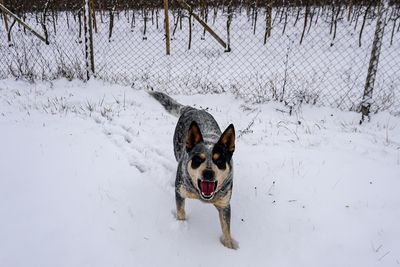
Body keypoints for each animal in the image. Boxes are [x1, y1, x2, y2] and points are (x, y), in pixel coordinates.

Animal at [150, 91, 238, 250]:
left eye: (219, 161)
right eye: (198, 159)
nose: (208, 173)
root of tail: (191, 109)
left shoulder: (224, 205)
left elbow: (226, 229)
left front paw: (229, 247)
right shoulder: (180, 192)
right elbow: (181, 212)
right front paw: (181, 227)